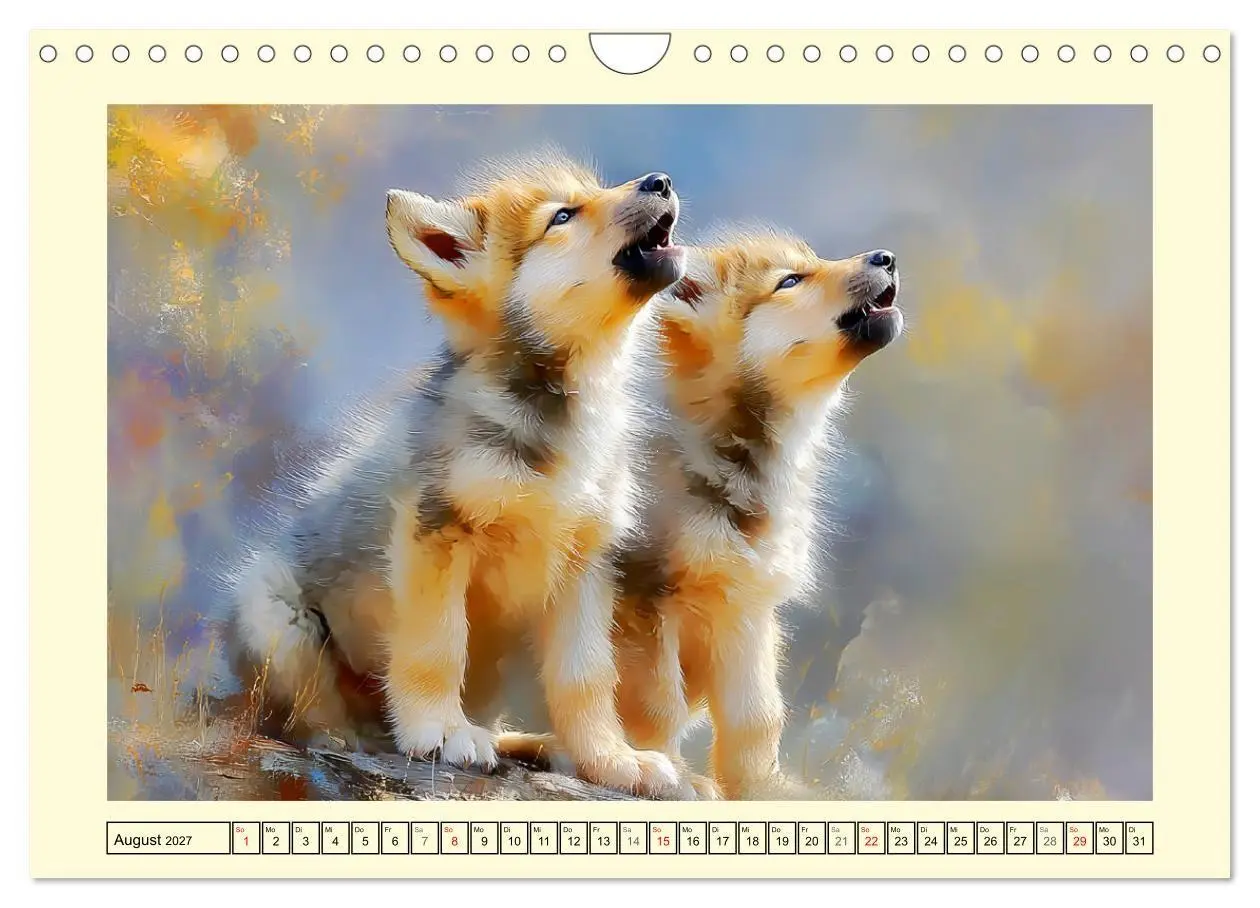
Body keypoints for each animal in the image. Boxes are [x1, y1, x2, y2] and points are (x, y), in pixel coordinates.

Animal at [230, 153, 686, 795]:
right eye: (562, 217)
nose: (661, 181)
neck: (561, 420)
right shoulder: (435, 533)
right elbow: (438, 647)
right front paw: (440, 732)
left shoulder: (585, 565)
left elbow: (586, 678)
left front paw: (611, 760)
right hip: (277, 619)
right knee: (308, 720)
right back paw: (355, 739)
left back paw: (526, 744)